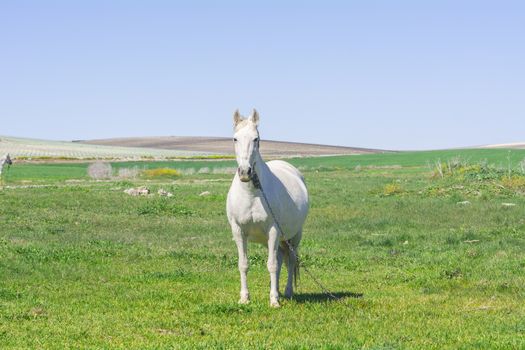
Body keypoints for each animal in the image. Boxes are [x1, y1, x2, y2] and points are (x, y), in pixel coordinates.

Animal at [225, 109, 308, 306]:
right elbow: (243, 264)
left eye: (256, 139)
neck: (251, 194)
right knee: (279, 258)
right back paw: (277, 291)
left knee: (290, 261)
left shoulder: (273, 230)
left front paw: (274, 302)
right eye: (235, 139)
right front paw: (244, 298)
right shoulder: (238, 231)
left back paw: (286, 292)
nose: (245, 172)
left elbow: (272, 265)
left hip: (293, 236)